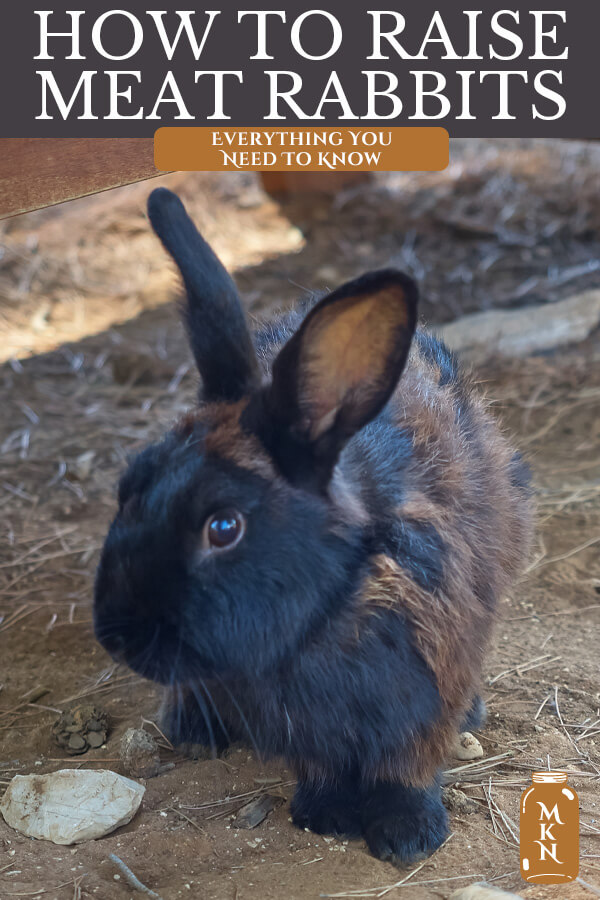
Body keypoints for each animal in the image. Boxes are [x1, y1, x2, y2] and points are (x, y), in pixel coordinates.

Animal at [94, 187, 534, 865]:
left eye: (224, 526)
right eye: (129, 486)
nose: (115, 637)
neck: (325, 615)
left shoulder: (431, 681)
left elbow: (406, 766)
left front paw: (408, 836)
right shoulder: (301, 724)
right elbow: (322, 766)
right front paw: (324, 816)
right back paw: (193, 729)